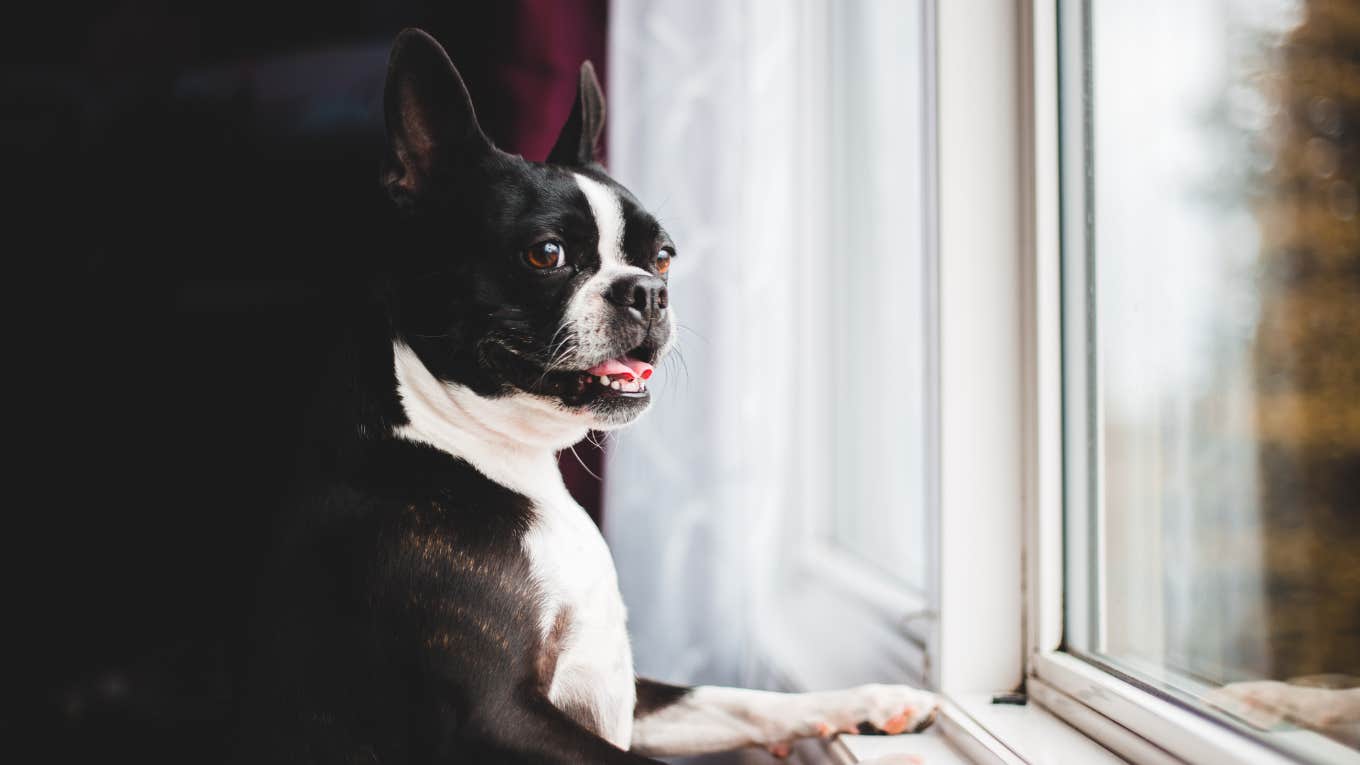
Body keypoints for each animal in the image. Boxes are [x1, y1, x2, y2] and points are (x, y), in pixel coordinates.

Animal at [236, 26, 935, 756]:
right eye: (546, 253)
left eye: (662, 258)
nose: (648, 291)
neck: (499, 458)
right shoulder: (495, 715)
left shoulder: (629, 692)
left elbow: (730, 697)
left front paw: (866, 699)